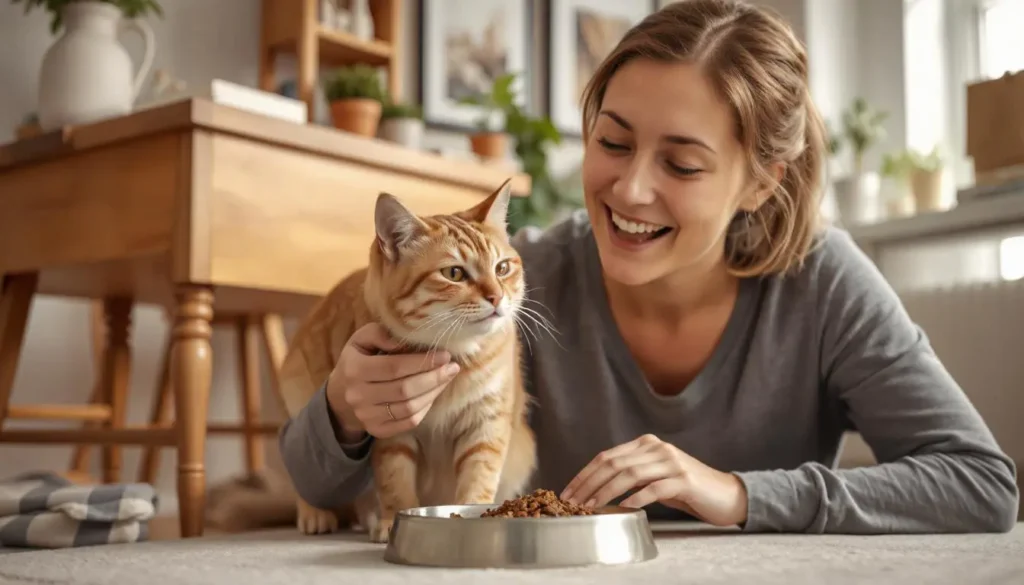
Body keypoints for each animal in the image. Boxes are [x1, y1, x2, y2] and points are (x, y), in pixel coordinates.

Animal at [276, 178, 540, 545]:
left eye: (502, 268)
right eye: (454, 273)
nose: (497, 297)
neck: (454, 353)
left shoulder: (486, 422)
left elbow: (478, 477)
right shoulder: (390, 429)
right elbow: (395, 478)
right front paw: (392, 521)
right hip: (297, 390)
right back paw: (319, 515)